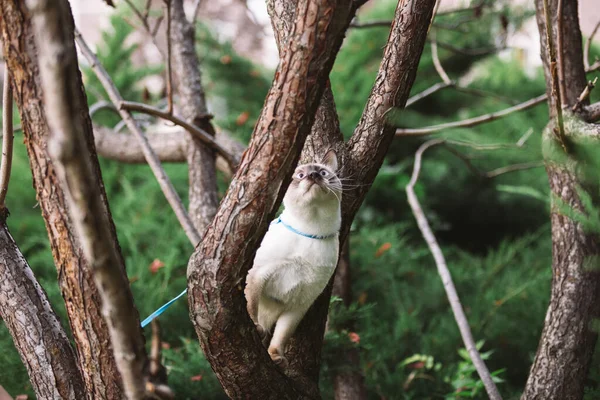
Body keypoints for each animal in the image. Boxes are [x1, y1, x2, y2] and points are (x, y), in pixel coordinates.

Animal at [245, 150, 342, 368]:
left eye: (323, 172)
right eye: (300, 175)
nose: (314, 176)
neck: (312, 231)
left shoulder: (301, 303)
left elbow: (281, 335)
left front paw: (276, 357)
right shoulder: (257, 274)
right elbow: (251, 305)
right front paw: (254, 325)